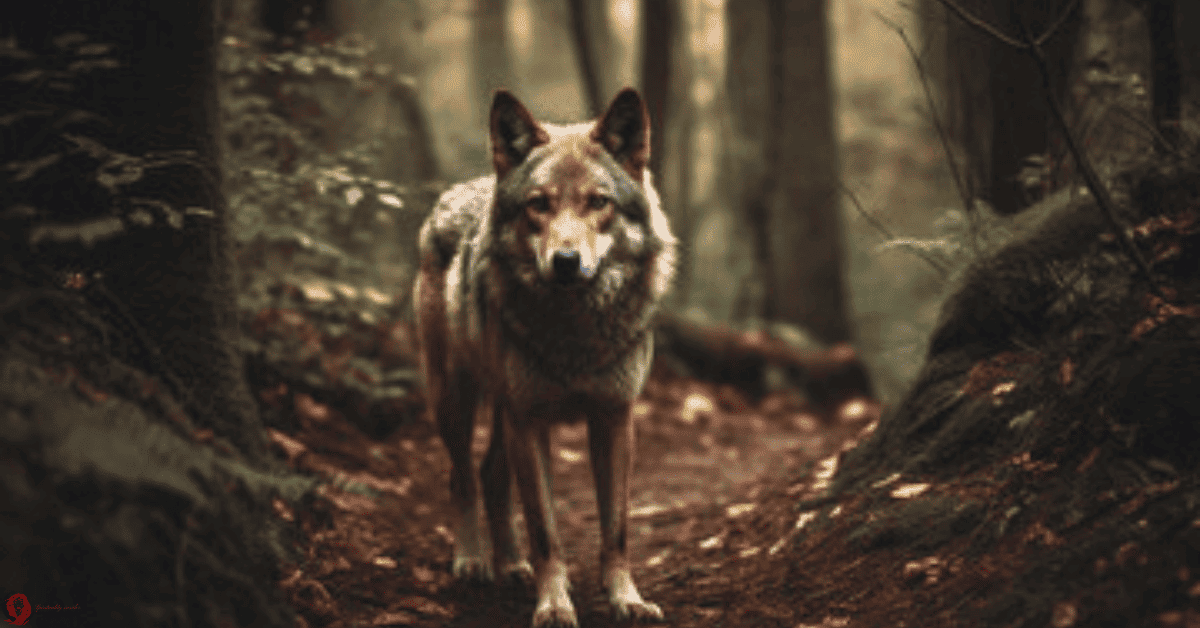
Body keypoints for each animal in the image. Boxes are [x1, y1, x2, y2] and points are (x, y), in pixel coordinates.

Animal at [413, 88, 675, 627]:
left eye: (598, 202)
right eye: (539, 205)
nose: (566, 262)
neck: (574, 334)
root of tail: (455, 192)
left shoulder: (614, 418)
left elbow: (617, 528)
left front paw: (627, 598)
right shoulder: (531, 421)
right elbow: (546, 533)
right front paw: (553, 604)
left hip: (503, 411)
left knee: (492, 475)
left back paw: (512, 566)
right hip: (455, 399)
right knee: (461, 476)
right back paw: (472, 560)